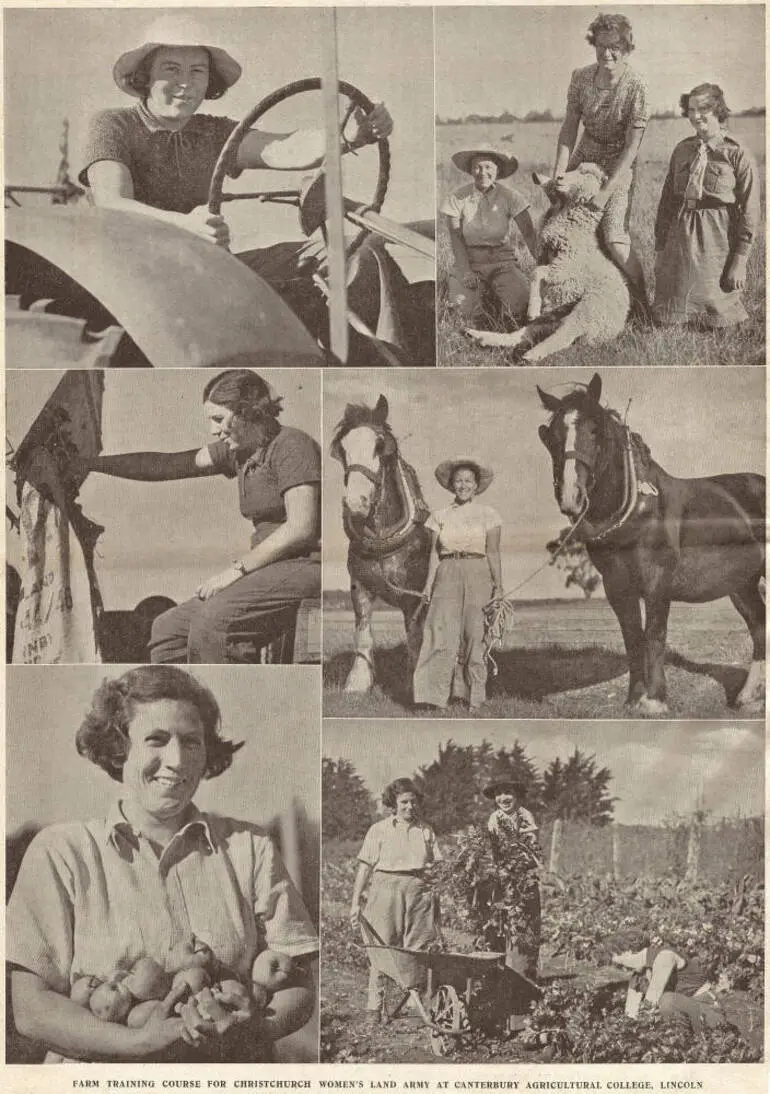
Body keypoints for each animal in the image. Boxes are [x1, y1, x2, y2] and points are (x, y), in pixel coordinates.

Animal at [330, 398, 433, 695]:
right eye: (342, 449)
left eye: (380, 447)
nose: (356, 502)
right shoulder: (360, 587)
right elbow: (363, 633)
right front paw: (358, 681)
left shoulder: (415, 598)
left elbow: (415, 639)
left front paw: (414, 684)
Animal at [538, 374, 765, 717]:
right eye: (551, 436)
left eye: (596, 430)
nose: (571, 496)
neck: (642, 509)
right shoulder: (617, 586)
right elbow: (633, 637)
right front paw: (634, 698)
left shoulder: (658, 582)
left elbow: (654, 635)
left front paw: (655, 700)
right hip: (742, 583)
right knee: (759, 625)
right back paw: (746, 697)